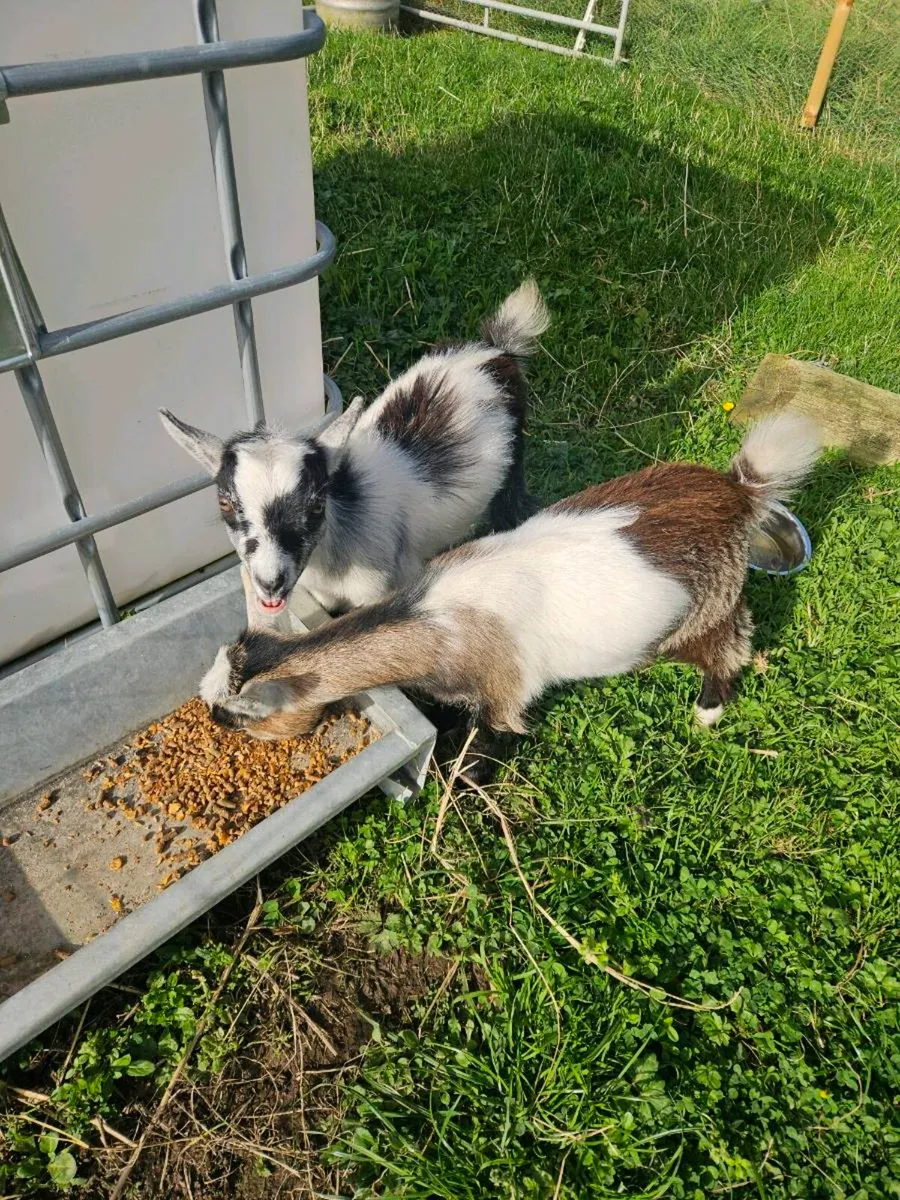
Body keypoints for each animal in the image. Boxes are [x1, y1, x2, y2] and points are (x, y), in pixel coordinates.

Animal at [159, 281, 549, 623]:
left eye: (317, 505)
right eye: (224, 503)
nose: (270, 583)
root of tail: (493, 350)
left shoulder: (384, 588)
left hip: (514, 460)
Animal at [202, 413, 821, 751]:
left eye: (239, 714)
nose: (212, 720)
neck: (434, 621)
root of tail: (738, 491)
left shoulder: (503, 696)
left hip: (706, 609)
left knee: (729, 644)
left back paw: (707, 711)